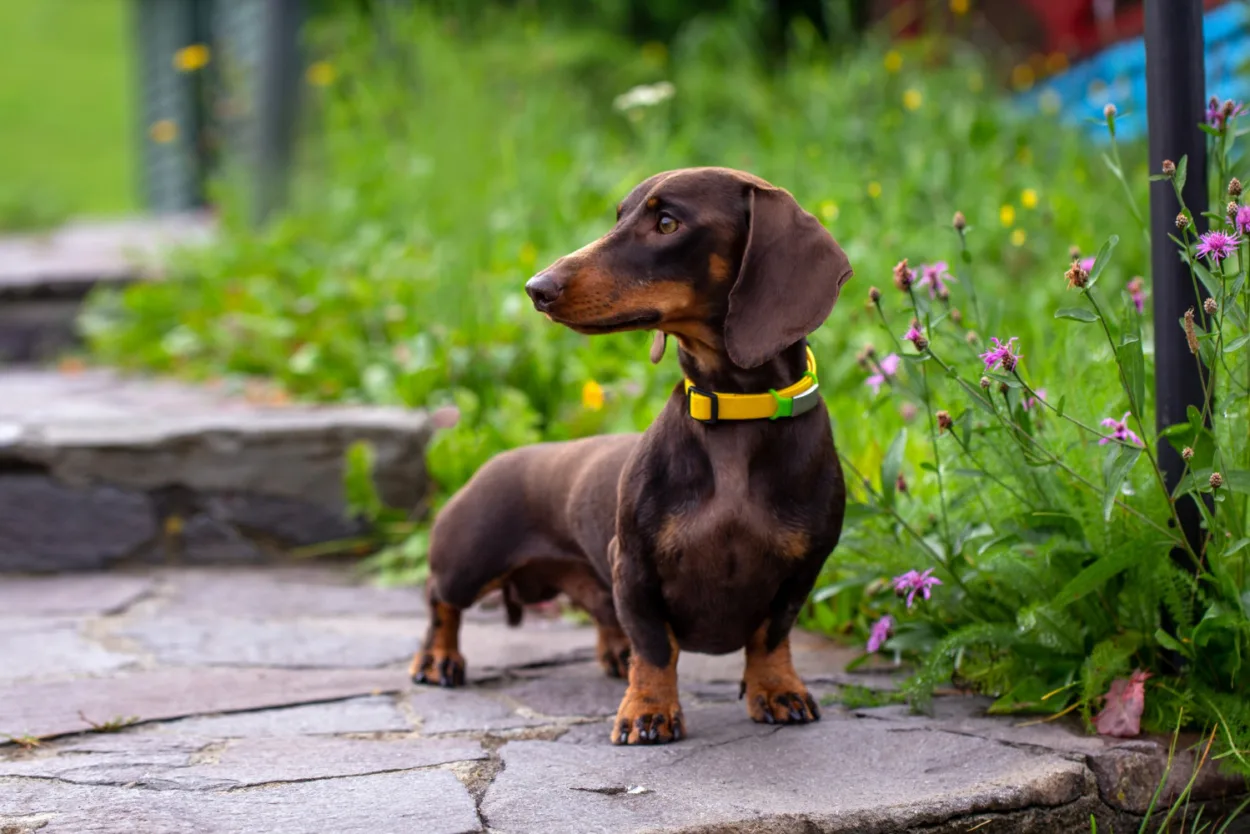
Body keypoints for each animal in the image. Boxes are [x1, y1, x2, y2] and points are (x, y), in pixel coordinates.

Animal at [407, 166, 850, 745]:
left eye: (667, 223)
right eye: (618, 215)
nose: (537, 288)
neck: (736, 413)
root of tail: (496, 460)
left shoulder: (801, 571)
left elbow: (771, 637)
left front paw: (777, 690)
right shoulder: (636, 565)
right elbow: (657, 648)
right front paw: (648, 711)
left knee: (603, 615)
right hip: (468, 558)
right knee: (440, 599)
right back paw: (437, 658)